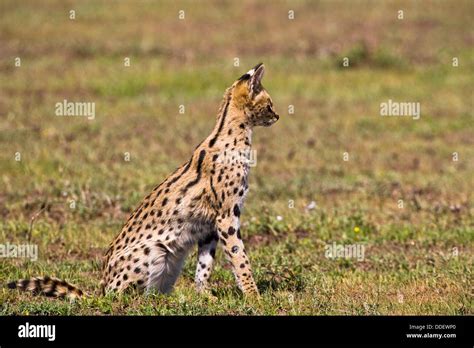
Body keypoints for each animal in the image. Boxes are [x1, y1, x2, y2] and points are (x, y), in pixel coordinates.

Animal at [7, 63, 280, 300]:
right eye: (269, 104)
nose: (277, 116)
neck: (233, 133)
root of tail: (99, 290)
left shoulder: (210, 226)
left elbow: (204, 266)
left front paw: (205, 296)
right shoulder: (226, 216)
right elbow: (239, 258)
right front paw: (255, 297)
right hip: (156, 250)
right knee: (122, 296)